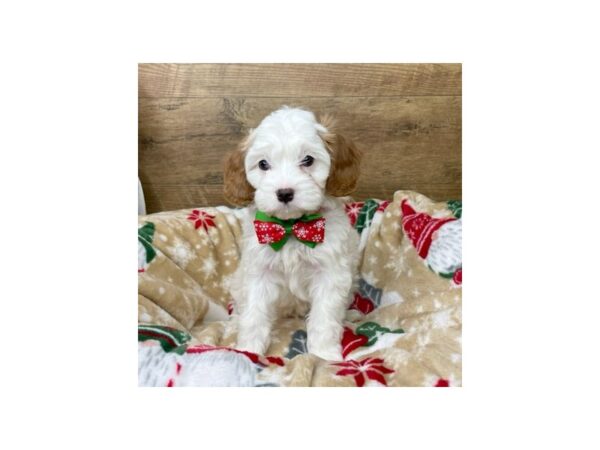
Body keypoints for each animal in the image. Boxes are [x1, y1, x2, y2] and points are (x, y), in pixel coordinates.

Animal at [221, 106, 358, 362]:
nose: (284, 193)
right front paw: (248, 350)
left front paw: (324, 355)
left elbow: (325, 317)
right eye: (263, 164)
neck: (291, 227)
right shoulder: (259, 272)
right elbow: (254, 315)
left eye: (308, 160)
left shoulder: (329, 274)